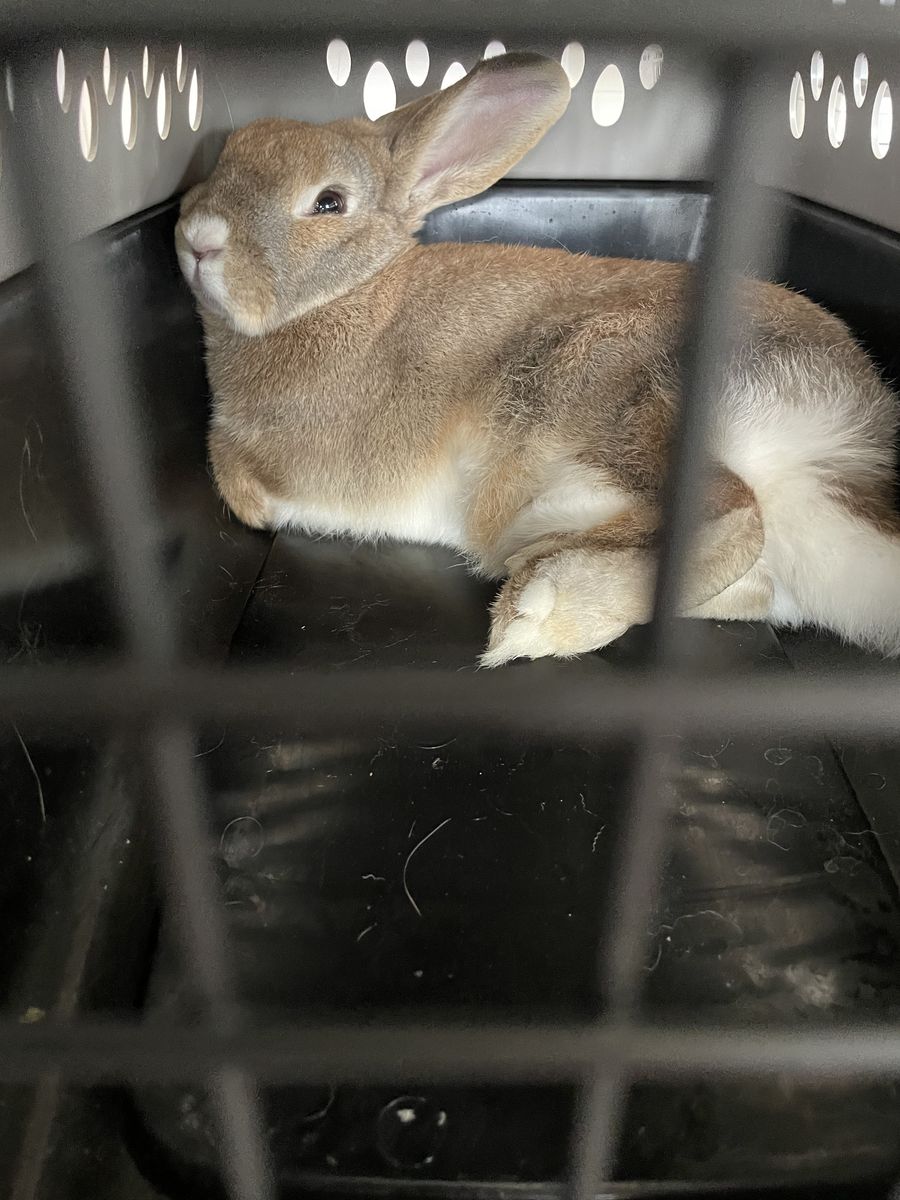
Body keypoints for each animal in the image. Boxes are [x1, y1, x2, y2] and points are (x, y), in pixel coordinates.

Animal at [175, 51, 900, 665]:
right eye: (226, 154)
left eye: (328, 202)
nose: (196, 237)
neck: (351, 294)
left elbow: (238, 482)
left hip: (610, 386)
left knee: (732, 508)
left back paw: (543, 611)